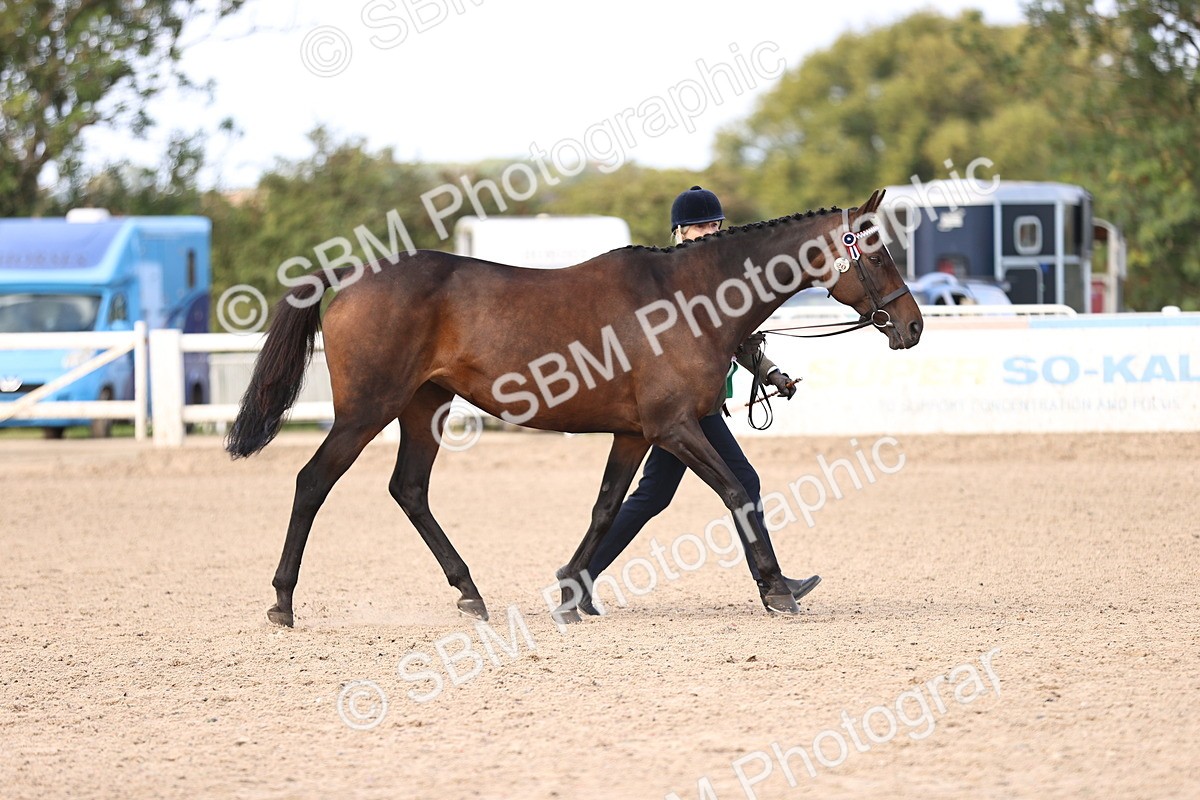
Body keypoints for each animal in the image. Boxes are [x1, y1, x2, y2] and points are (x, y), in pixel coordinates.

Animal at [226, 189, 922, 627]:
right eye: (877, 250)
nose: (913, 326)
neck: (687, 297)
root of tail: (350, 275)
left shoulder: (638, 433)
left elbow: (609, 507)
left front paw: (571, 592)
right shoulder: (674, 427)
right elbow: (735, 492)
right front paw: (778, 589)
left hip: (425, 406)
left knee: (410, 490)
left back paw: (471, 594)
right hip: (366, 411)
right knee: (313, 481)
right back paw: (283, 603)